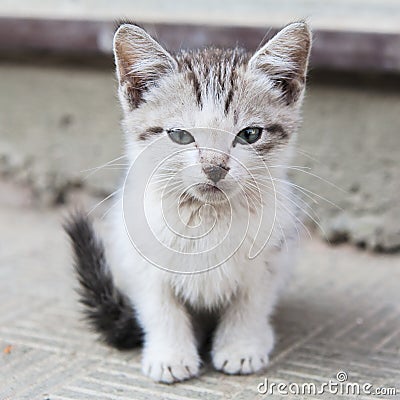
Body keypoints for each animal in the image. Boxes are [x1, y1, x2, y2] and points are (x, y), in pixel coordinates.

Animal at [65, 21, 312, 384]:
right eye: (181, 136)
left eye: (249, 135)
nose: (214, 167)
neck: (209, 216)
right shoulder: (139, 255)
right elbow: (161, 307)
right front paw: (170, 355)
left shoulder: (273, 254)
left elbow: (251, 303)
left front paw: (240, 346)